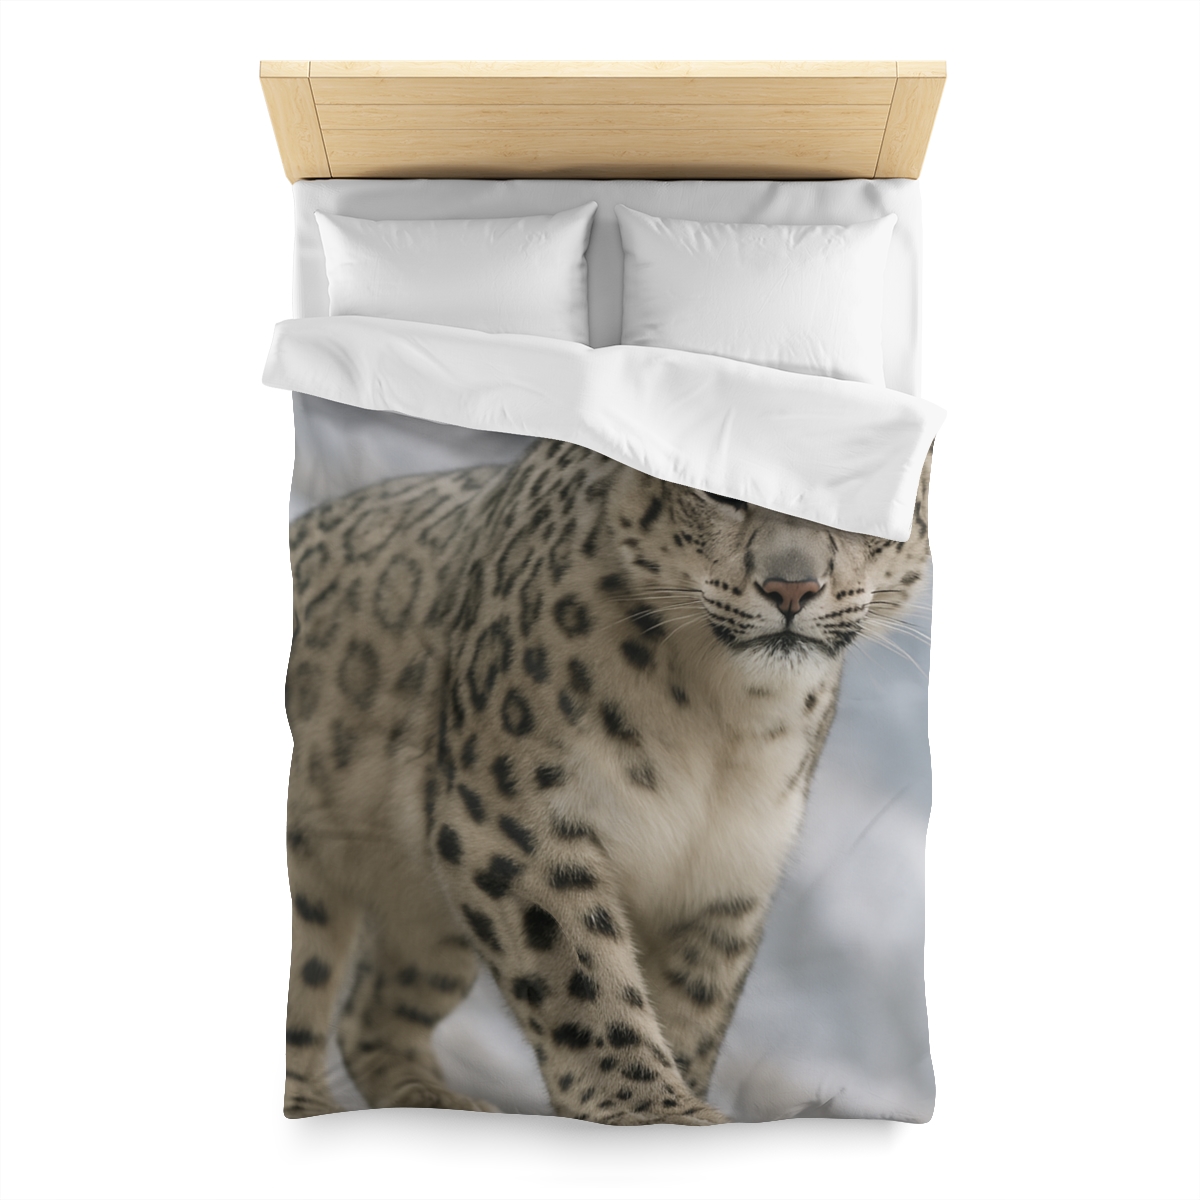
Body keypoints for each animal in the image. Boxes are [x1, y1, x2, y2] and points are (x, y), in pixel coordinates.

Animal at [282, 436, 932, 1126]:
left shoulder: (729, 871)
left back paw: (436, 1100)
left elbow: (693, 1003)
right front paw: (655, 1109)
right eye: (719, 491)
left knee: (373, 1012)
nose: (791, 587)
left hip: (426, 922)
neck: (727, 720)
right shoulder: (515, 820)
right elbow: (583, 972)